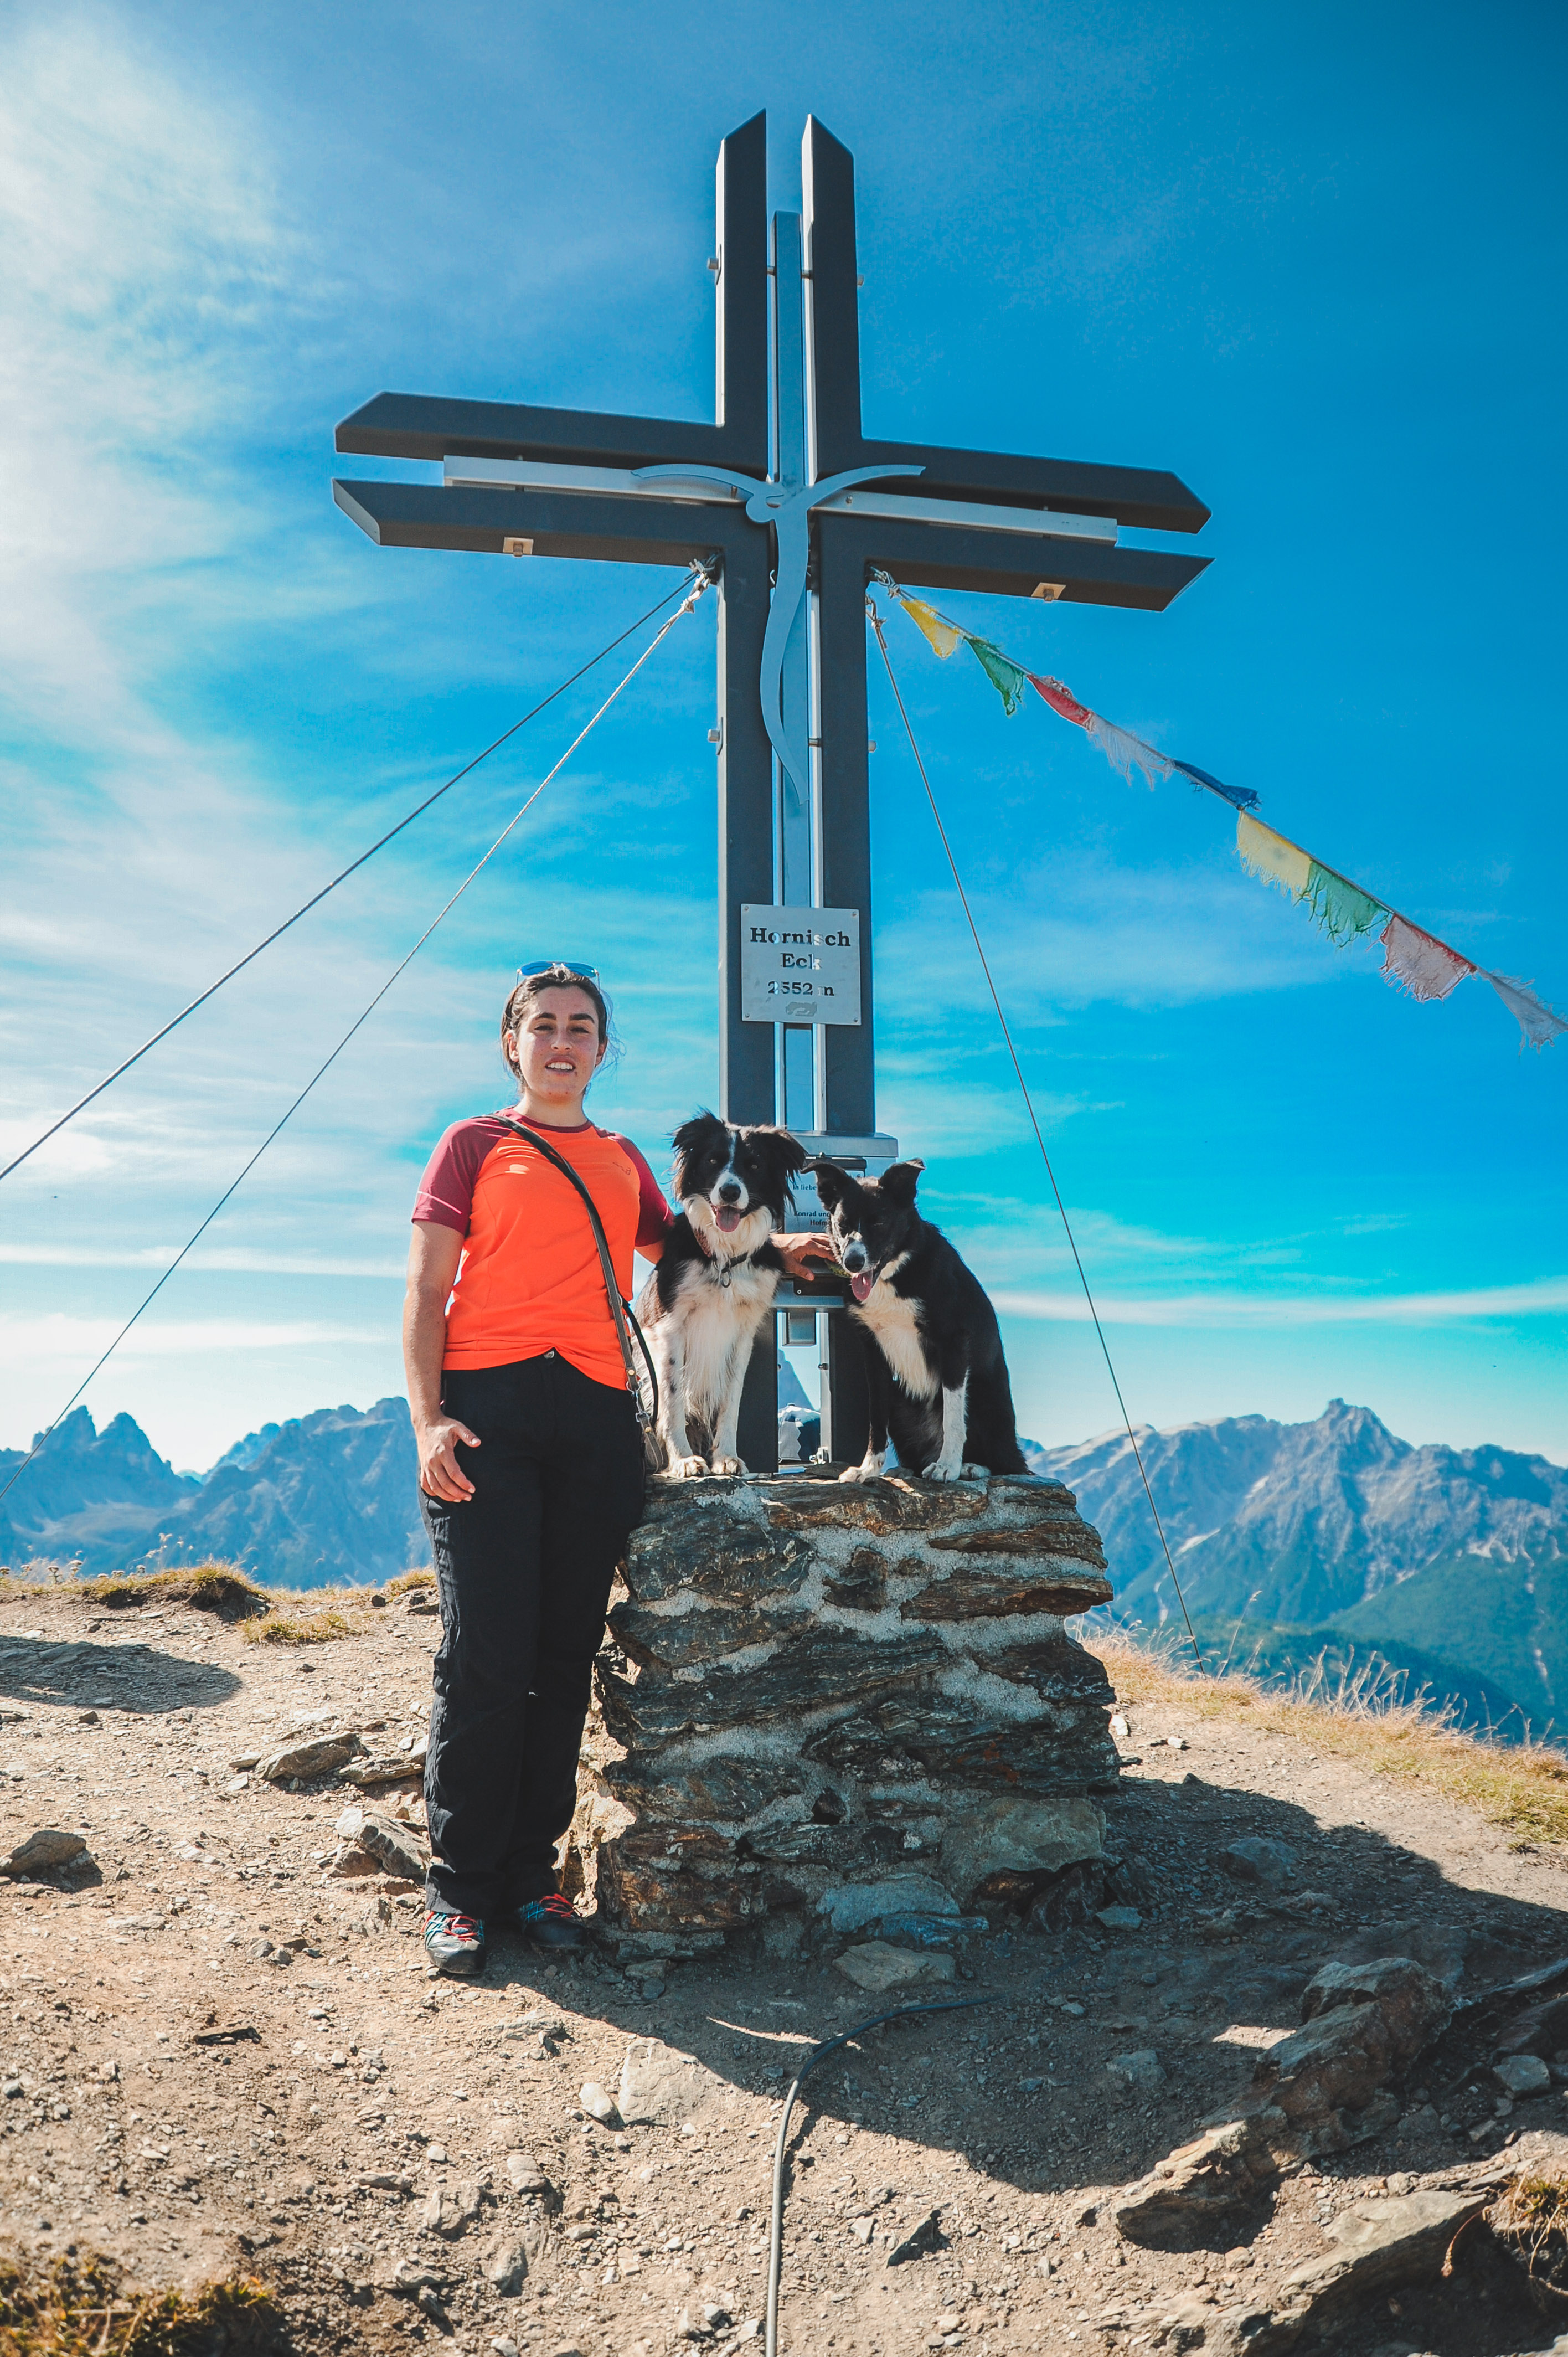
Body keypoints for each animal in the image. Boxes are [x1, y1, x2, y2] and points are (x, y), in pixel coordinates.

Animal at [636, 1108, 806, 1470]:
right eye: (714, 1161)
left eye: (754, 1166)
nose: (729, 1192)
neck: (724, 1258)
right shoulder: (668, 1329)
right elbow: (673, 1400)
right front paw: (683, 1460)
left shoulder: (741, 1334)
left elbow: (731, 1401)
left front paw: (727, 1457)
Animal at [806, 1164, 1028, 1489]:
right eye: (843, 1224)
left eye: (879, 1222)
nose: (853, 1262)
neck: (894, 1274)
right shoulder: (873, 1351)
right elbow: (876, 1417)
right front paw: (868, 1469)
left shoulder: (954, 1343)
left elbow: (952, 1416)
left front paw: (948, 1466)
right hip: (902, 1400)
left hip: (985, 1399)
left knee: (1008, 1465)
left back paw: (971, 1466)